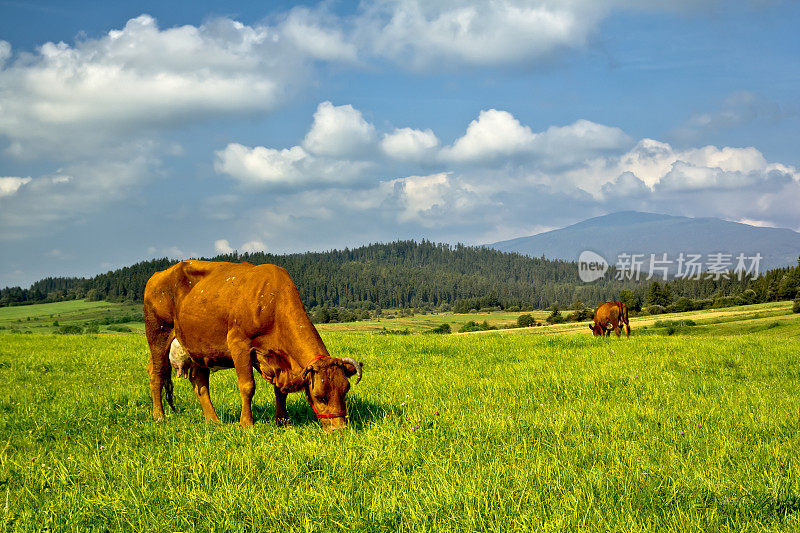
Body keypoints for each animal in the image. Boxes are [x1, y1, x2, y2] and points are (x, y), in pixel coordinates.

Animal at [144, 260, 362, 430]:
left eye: (345, 391)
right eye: (319, 396)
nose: (339, 429)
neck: (272, 301)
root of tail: (157, 275)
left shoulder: (278, 360)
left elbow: (280, 391)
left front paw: (282, 421)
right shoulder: (239, 345)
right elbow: (248, 386)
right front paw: (247, 423)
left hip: (198, 347)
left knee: (199, 381)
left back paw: (213, 420)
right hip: (158, 334)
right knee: (157, 372)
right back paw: (159, 416)